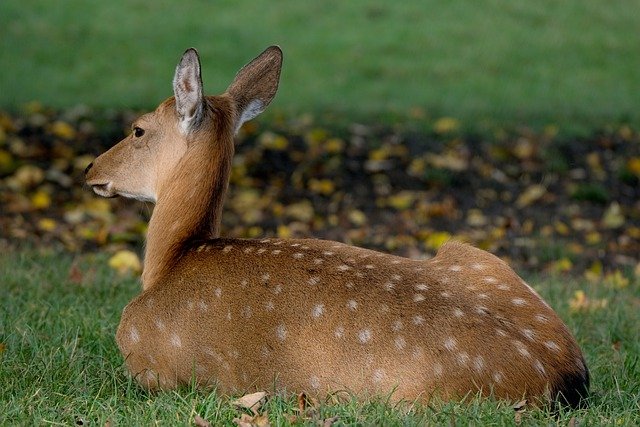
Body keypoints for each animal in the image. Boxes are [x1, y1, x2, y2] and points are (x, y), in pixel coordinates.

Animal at [85, 46, 592, 408]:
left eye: (138, 130)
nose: (90, 169)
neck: (172, 259)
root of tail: (563, 376)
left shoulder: (148, 358)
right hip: (470, 252)